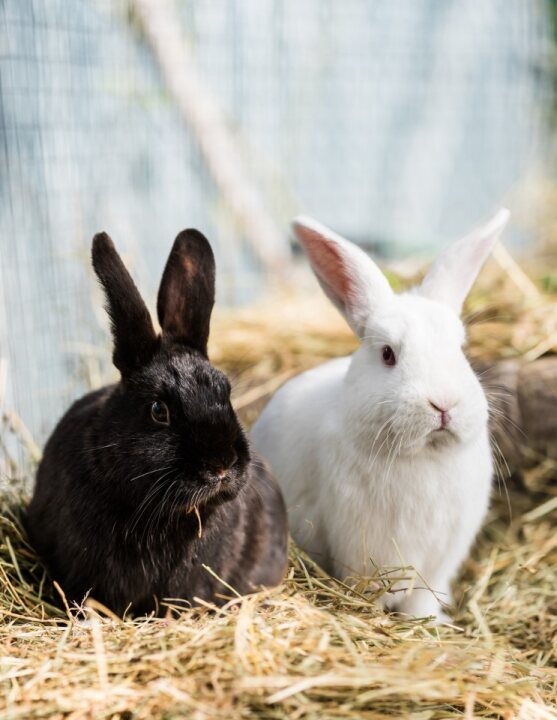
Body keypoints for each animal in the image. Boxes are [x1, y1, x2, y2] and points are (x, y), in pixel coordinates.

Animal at [251, 209, 510, 621]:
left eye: (460, 349)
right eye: (388, 354)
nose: (443, 404)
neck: (424, 457)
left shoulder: (440, 560)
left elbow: (422, 599)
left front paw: (429, 622)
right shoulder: (365, 551)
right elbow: (371, 591)